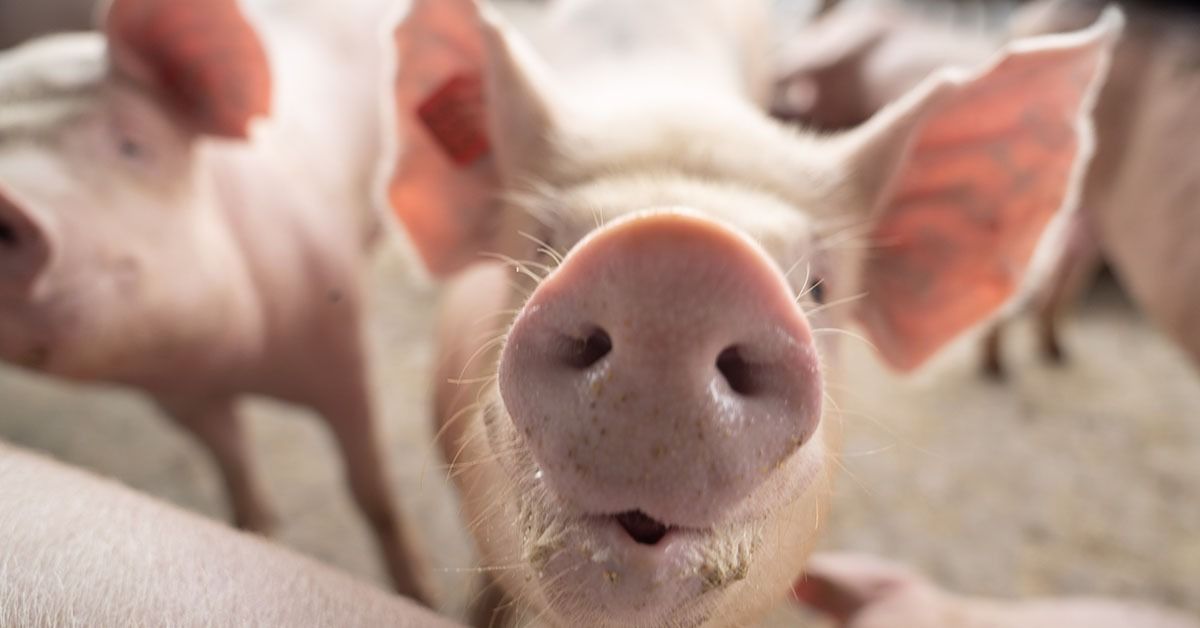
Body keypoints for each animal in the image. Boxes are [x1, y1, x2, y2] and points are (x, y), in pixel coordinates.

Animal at [0, 0, 433, 602]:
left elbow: (371, 491)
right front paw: (255, 531)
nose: (6, 200)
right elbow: (233, 462)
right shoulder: (177, 393)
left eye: (133, 145)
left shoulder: (340, 347)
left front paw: (419, 595)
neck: (231, 363)